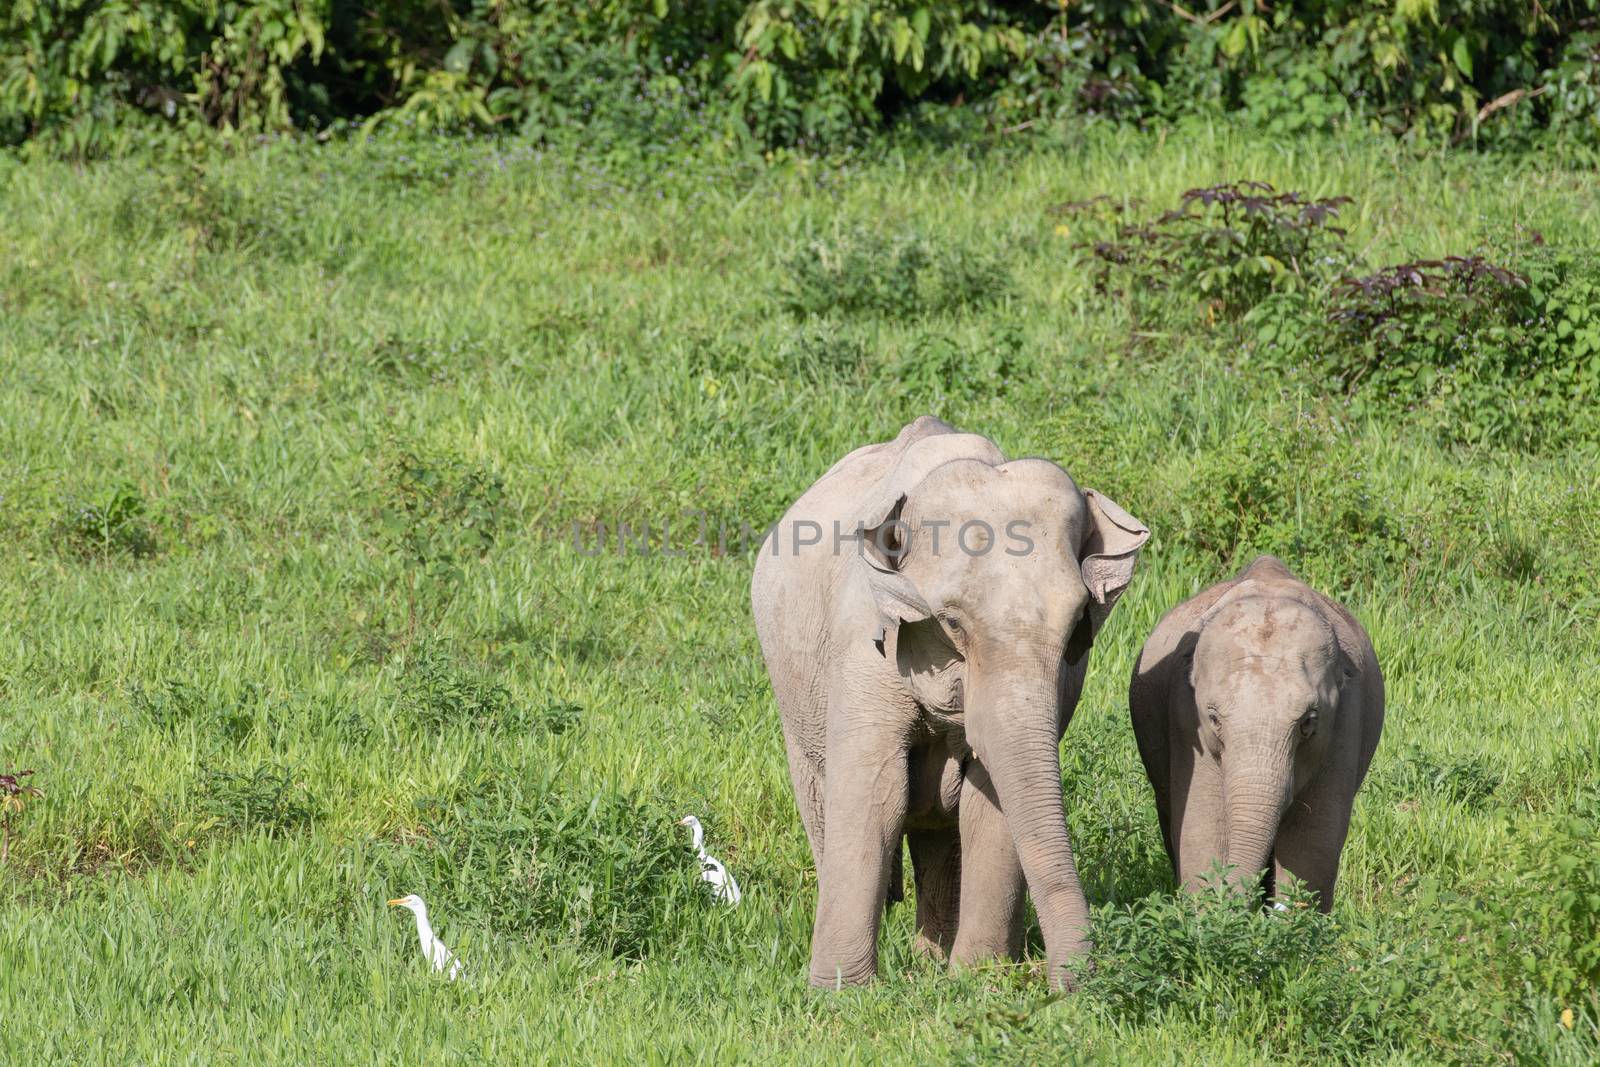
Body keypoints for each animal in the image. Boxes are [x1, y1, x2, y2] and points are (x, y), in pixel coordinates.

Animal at [752, 412, 1152, 991]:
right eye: (953, 621)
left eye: (1078, 621)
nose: (1070, 986)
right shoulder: (863, 636)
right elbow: (877, 791)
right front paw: (840, 992)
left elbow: (992, 797)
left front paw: (977, 979)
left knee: (941, 834)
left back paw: (931, 964)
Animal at [1132, 556, 1382, 915]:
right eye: (1213, 719)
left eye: (1309, 721)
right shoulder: (1185, 719)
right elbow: (1203, 829)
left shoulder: (1346, 720)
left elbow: (1314, 839)